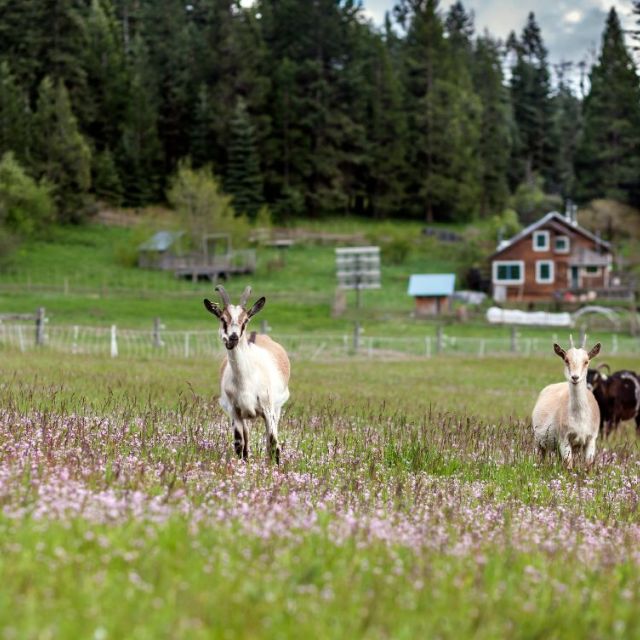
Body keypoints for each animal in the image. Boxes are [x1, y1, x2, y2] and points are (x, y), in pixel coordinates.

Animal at [203, 285, 290, 464]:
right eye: (223, 319)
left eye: (245, 320)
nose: (233, 337)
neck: (246, 381)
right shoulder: (234, 411)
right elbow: (239, 444)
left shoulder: (268, 409)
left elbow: (274, 443)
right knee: (247, 439)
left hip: (277, 409)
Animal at [532, 335, 601, 468]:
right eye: (566, 360)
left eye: (586, 361)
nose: (575, 377)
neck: (580, 419)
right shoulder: (564, 438)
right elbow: (568, 465)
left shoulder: (591, 438)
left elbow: (588, 465)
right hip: (538, 440)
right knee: (540, 456)